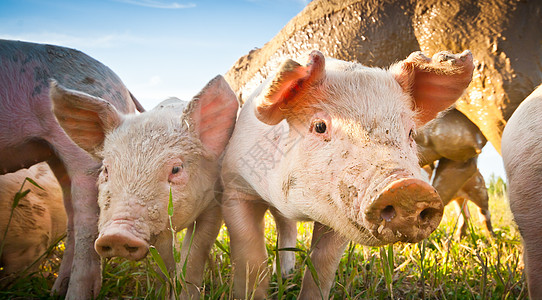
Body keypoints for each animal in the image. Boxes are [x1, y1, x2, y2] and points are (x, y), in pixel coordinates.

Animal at [0, 40, 143, 300]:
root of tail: (122, 86)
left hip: (84, 155)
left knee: (88, 220)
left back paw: (73, 294)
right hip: (56, 156)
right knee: (73, 216)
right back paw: (57, 291)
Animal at [221, 49, 476, 298]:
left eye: (411, 133)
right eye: (320, 126)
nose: (408, 189)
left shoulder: (340, 215)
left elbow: (322, 265)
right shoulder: (235, 186)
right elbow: (251, 258)